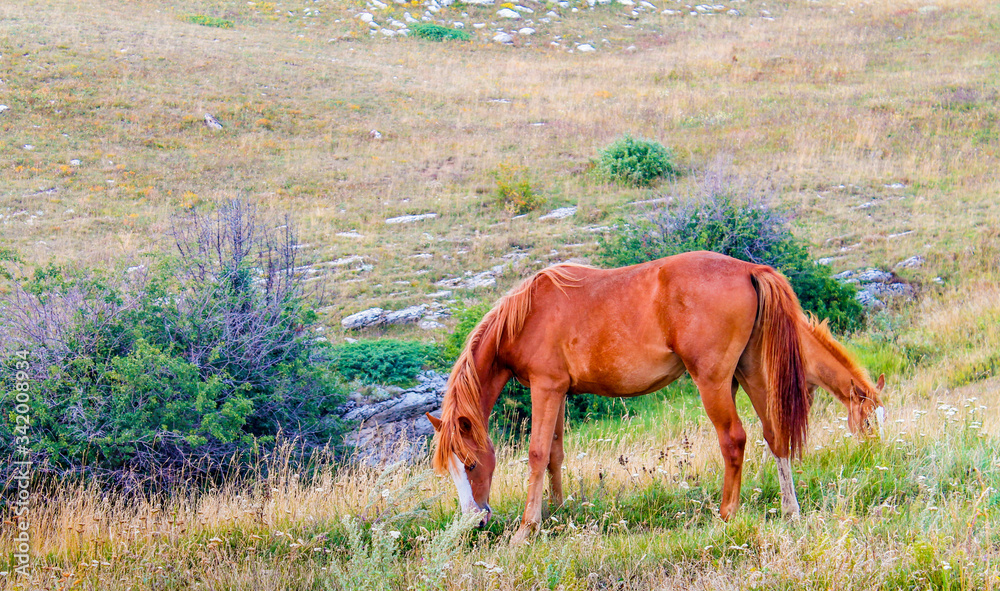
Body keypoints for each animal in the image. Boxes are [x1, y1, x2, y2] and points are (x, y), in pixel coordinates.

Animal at [426, 251, 886, 544]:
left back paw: (726, 516)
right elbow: (555, 454)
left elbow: (538, 454)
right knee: (776, 438)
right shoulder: (558, 391)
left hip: (714, 382)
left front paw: (526, 529)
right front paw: (556, 513)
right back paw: (790, 511)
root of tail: (749, 269)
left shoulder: (545, 387)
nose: (473, 523)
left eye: (471, 464)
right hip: (753, 373)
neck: (529, 314)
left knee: (734, 440)